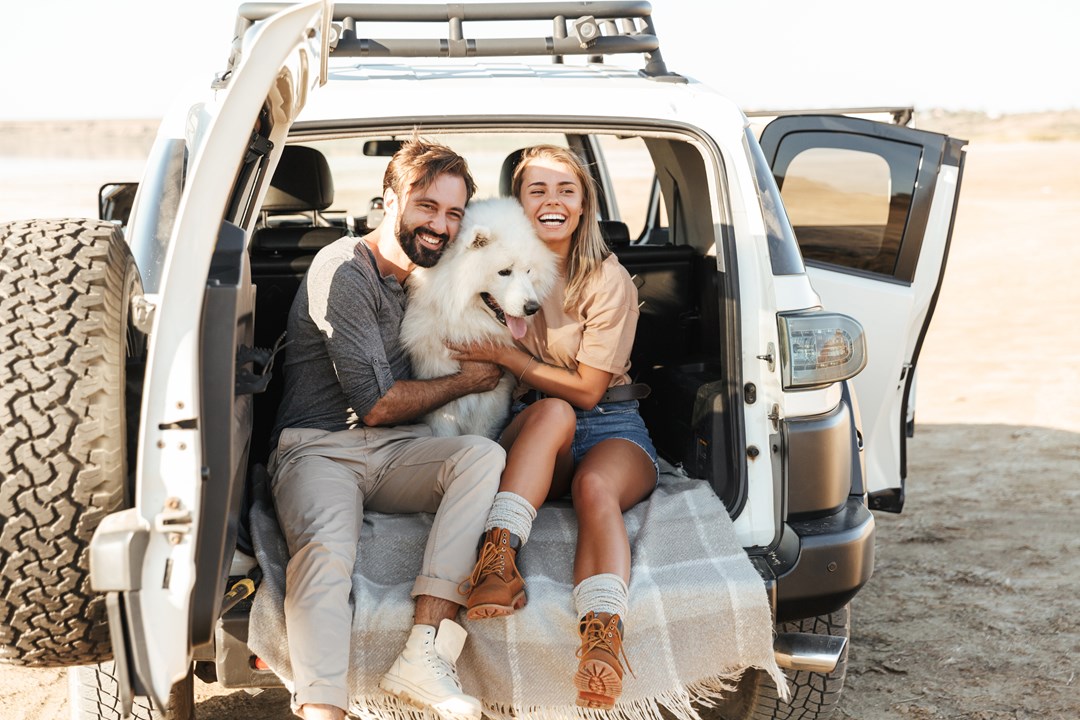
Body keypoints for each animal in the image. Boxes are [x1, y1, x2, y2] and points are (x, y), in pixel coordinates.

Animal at [403, 194, 561, 440]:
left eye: (528, 270)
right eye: (504, 272)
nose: (532, 307)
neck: (465, 324)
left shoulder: (491, 403)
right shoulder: (440, 409)